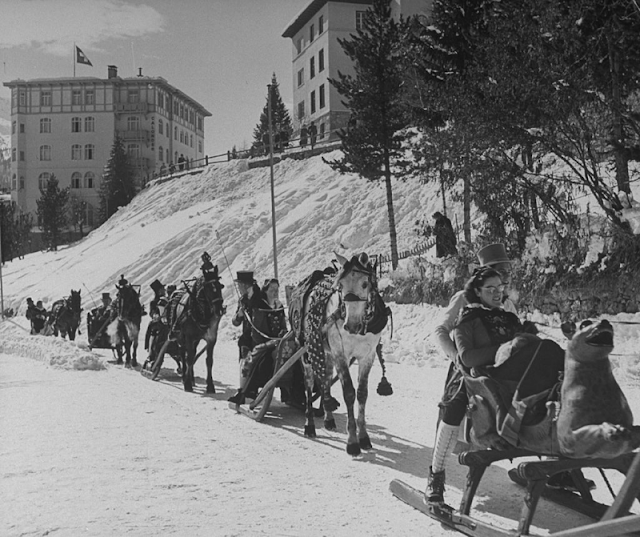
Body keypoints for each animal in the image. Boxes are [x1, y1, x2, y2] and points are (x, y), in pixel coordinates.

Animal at [298, 253, 390, 454]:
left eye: (365, 283)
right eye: (340, 286)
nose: (351, 325)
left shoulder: (367, 356)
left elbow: (362, 393)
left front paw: (364, 437)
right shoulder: (340, 354)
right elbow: (349, 393)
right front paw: (352, 441)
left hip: (327, 353)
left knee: (325, 379)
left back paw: (328, 417)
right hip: (308, 353)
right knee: (309, 384)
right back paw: (309, 425)